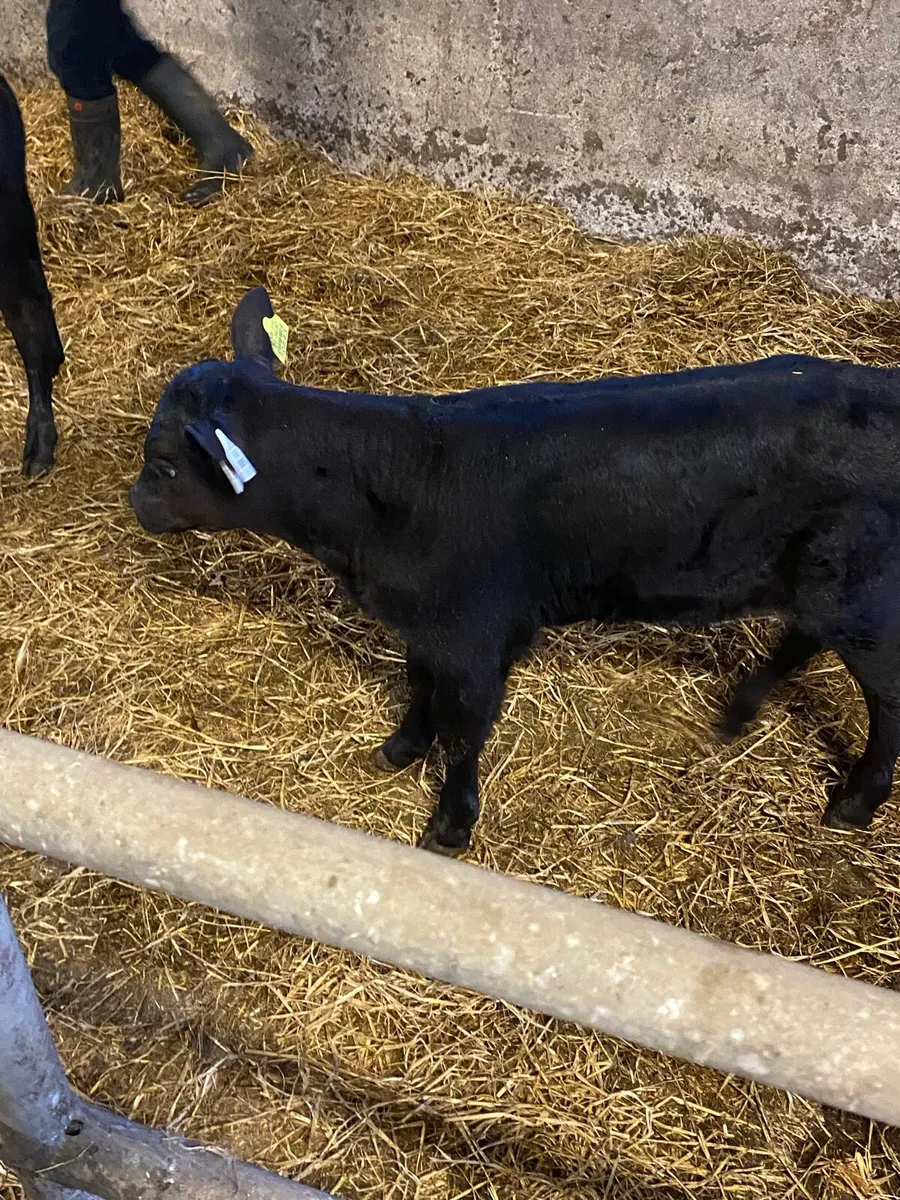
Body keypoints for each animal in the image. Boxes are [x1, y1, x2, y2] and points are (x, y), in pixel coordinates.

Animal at [129, 285, 900, 854]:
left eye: (163, 465)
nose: (135, 504)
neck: (391, 484)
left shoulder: (477, 635)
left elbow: (466, 726)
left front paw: (450, 823)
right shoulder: (431, 625)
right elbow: (420, 686)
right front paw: (403, 746)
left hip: (863, 592)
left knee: (886, 695)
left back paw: (856, 801)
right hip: (820, 580)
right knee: (803, 637)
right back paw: (741, 709)